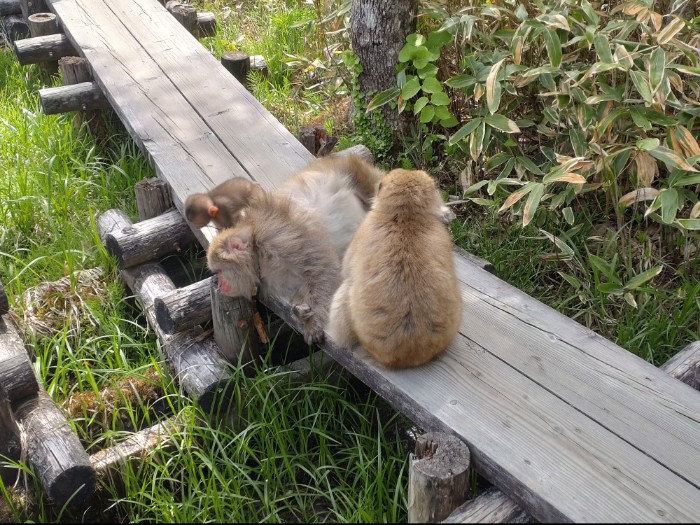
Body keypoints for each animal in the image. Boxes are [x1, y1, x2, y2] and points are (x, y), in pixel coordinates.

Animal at [207, 191, 341, 345]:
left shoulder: (280, 241)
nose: (219, 284)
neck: (259, 256)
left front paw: (314, 320)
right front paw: (299, 313)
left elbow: (323, 267)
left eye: (219, 271)